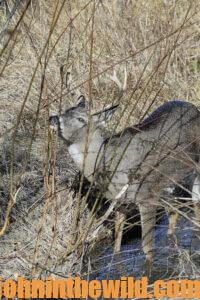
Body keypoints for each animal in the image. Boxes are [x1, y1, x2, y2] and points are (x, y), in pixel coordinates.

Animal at [49, 71, 200, 274]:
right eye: (64, 112)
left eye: (82, 120)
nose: (53, 119)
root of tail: (193, 107)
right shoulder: (119, 201)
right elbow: (117, 241)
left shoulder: (146, 196)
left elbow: (147, 248)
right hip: (168, 182)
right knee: (174, 212)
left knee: (195, 201)